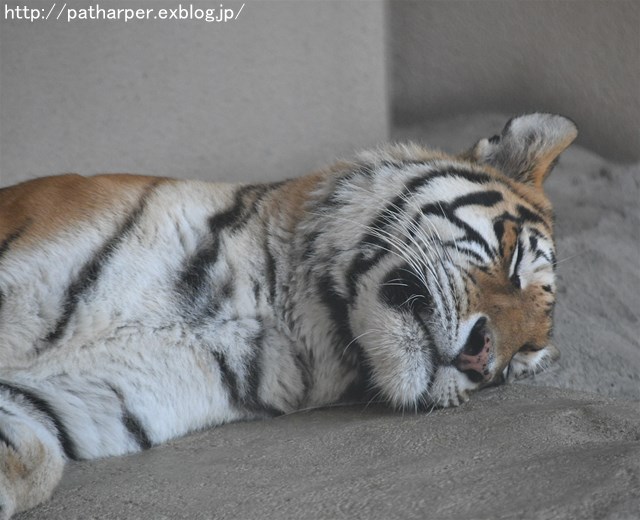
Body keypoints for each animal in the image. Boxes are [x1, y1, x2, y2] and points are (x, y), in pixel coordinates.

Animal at [0, 112, 576, 516]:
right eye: (514, 262)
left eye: (519, 362)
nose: (483, 362)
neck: (274, 310)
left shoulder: (72, 399)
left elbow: (36, 459)